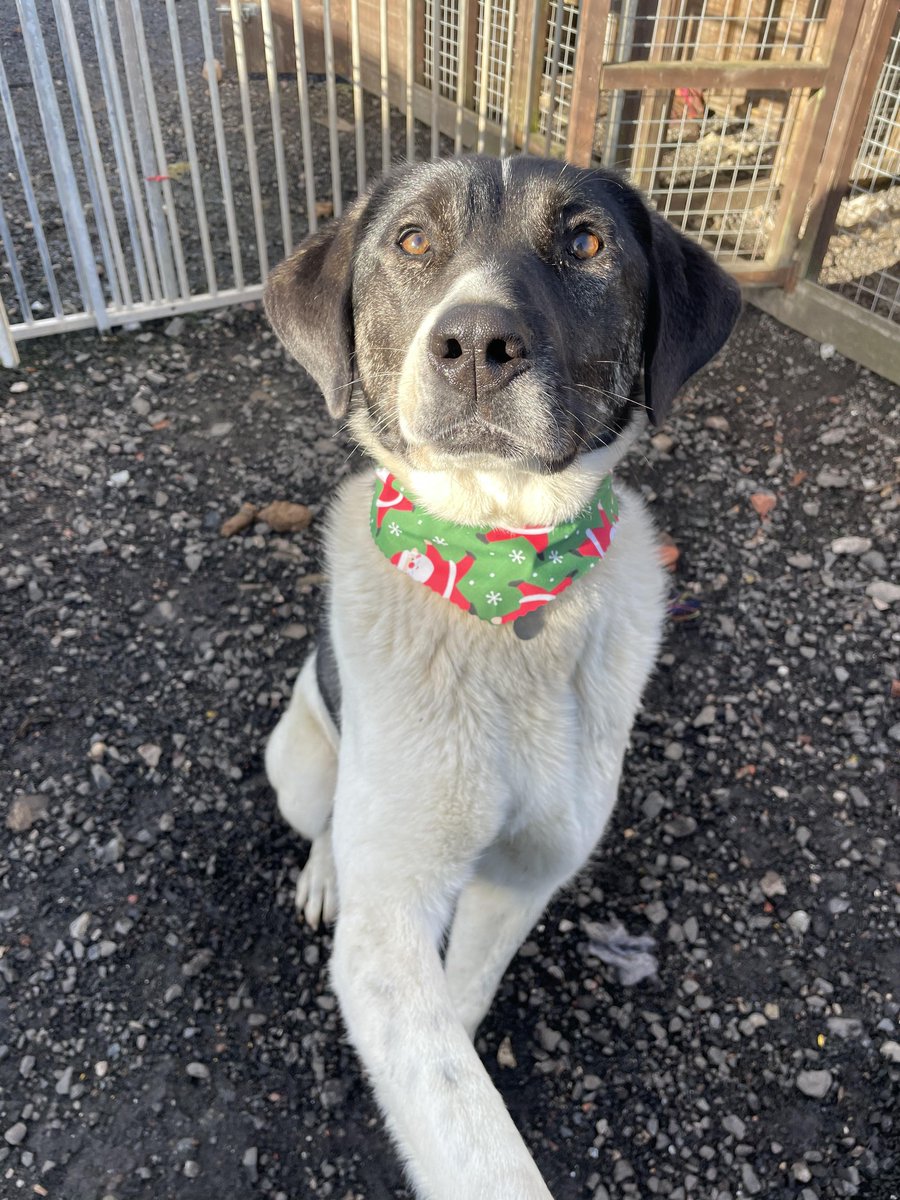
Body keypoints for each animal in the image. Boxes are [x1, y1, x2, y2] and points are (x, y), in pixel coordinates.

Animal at [260, 154, 739, 1195]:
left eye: (587, 241)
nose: (478, 343)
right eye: (411, 240)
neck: (496, 571)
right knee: (325, 826)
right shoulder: (390, 926)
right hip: (300, 762)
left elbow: (459, 1020)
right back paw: (322, 875)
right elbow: (468, 1125)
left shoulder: (525, 877)